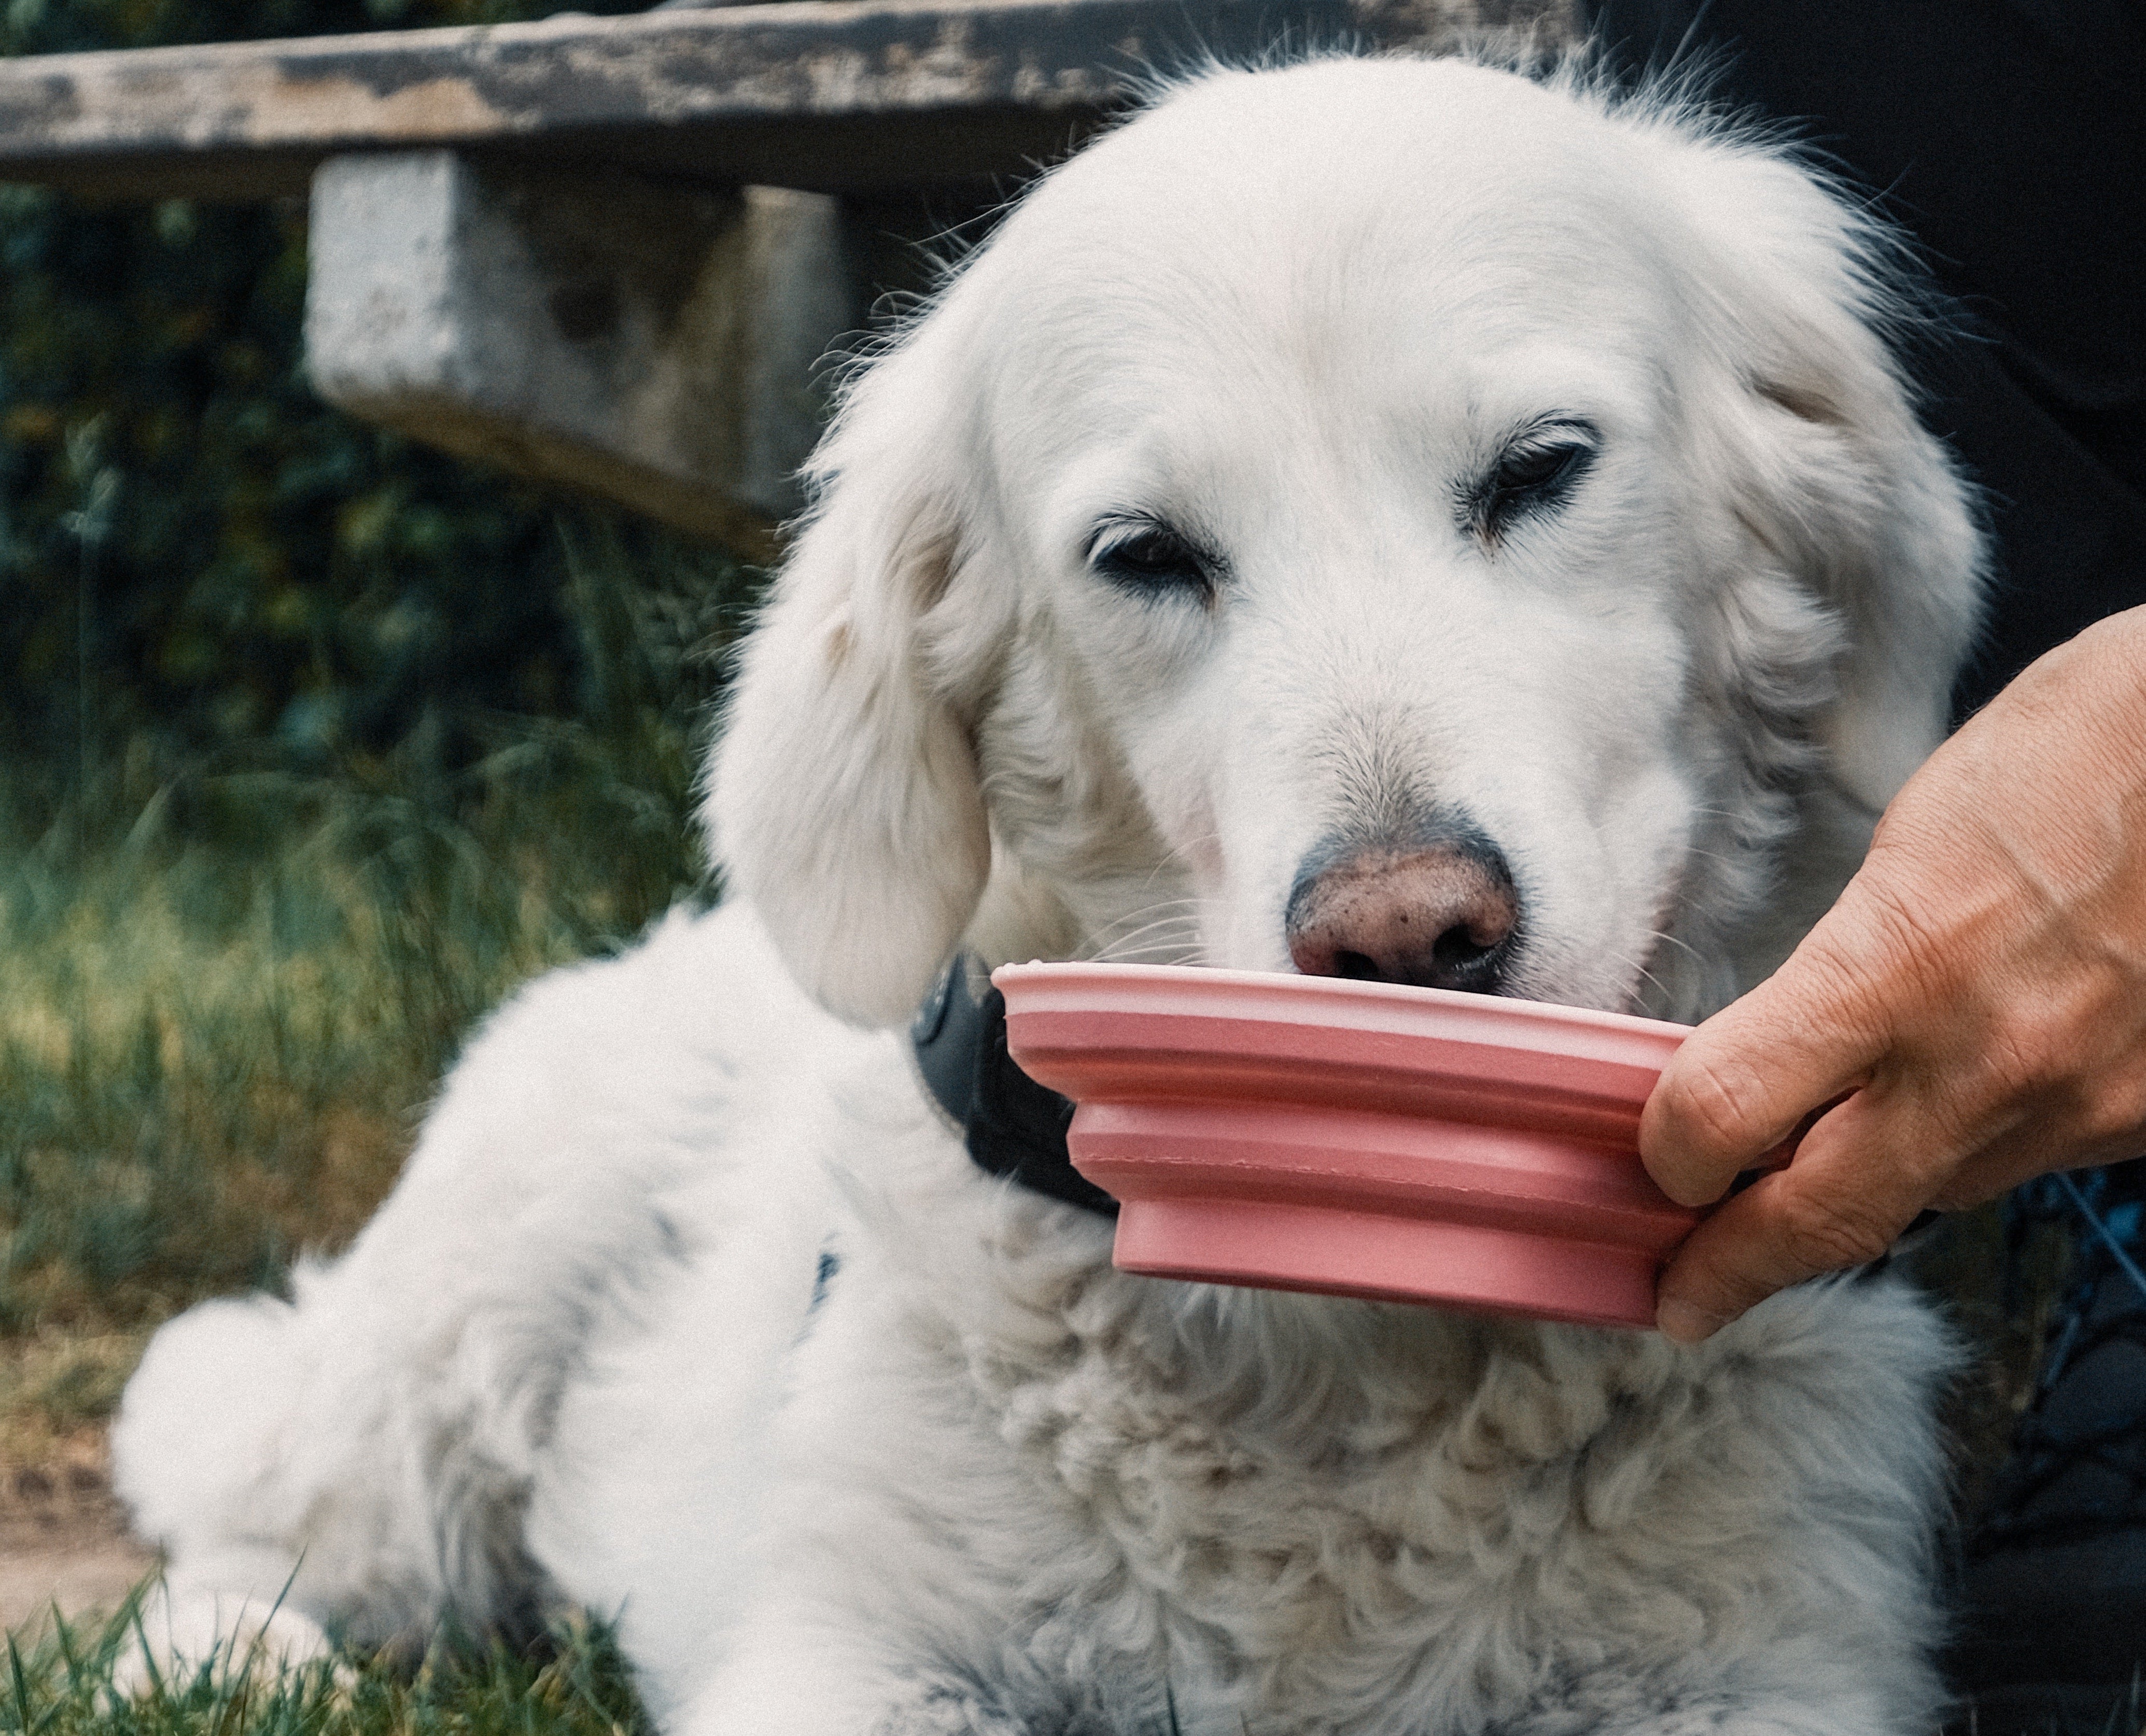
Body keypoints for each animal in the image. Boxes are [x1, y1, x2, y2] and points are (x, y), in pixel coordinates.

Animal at [109, 50, 1983, 1733]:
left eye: (1540, 466)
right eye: (1143, 554)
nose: (1400, 932)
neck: (1360, 1342)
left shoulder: (1764, 1669)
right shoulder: (857, 1650)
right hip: (457, 1336)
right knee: (268, 1519)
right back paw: (230, 1659)